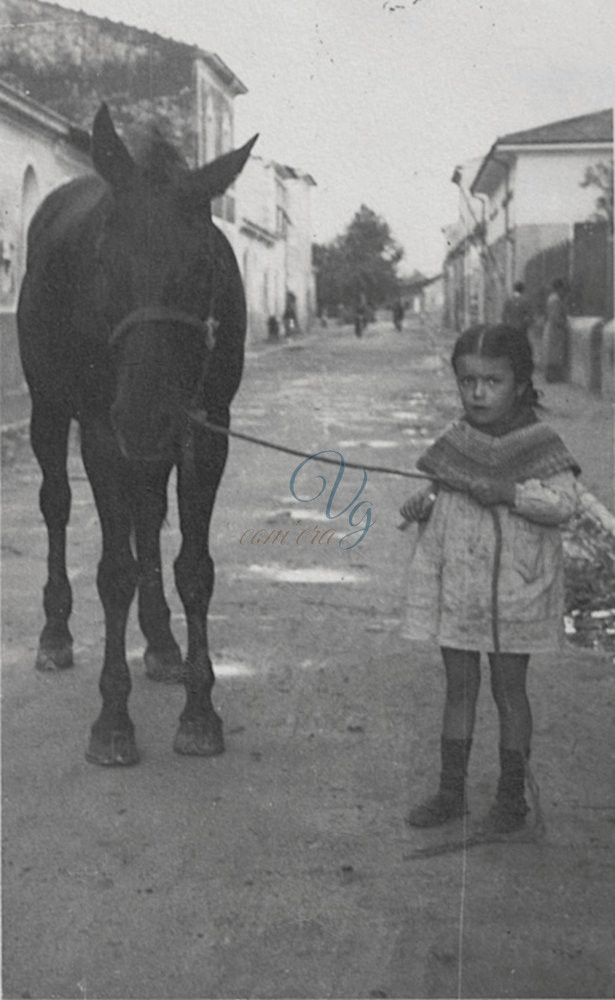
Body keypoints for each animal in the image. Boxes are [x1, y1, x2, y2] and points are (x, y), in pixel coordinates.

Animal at [16, 103, 258, 764]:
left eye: (202, 265)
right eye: (102, 260)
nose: (147, 415)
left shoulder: (206, 432)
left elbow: (193, 568)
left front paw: (200, 711)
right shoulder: (104, 434)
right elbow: (113, 572)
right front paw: (113, 718)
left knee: (148, 516)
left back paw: (161, 641)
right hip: (50, 410)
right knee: (57, 503)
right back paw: (55, 631)